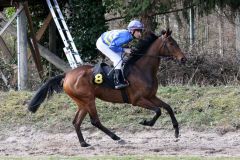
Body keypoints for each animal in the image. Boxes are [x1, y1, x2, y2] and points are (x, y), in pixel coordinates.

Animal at [27, 29, 186, 148]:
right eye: (171, 43)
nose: (183, 59)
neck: (142, 69)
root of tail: (66, 75)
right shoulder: (137, 100)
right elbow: (158, 110)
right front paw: (146, 122)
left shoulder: (151, 96)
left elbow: (168, 107)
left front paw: (176, 132)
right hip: (89, 100)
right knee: (95, 121)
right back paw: (116, 137)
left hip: (82, 102)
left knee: (76, 122)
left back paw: (84, 143)